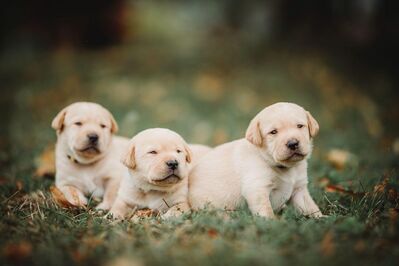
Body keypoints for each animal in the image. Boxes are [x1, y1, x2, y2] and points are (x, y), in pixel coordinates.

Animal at [189, 102, 324, 218]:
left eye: (300, 126)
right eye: (273, 132)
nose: (293, 143)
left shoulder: (299, 189)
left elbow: (311, 207)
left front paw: (321, 219)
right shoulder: (257, 188)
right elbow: (266, 210)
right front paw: (271, 224)